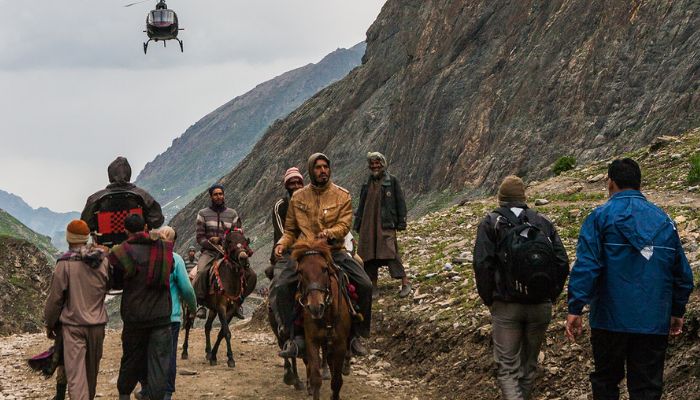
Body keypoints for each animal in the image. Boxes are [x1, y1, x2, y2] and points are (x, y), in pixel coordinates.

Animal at [180, 228, 254, 368]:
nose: (243, 258)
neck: (230, 279)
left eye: (244, 241)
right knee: (187, 325)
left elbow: (221, 333)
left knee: (207, 327)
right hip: (190, 306)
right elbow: (226, 332)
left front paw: (213, 356)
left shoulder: (231, 309)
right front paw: (230, 359)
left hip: (212, 309)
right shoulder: (221, 307)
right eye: (230, 241)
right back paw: (185, 352)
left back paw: (208, 352)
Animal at [292, 239, 352, 400]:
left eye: (325, 269)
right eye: (300, 271)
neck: (326, 315)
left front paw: (334, 395)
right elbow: (316, 378)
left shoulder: (340, 345)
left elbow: (337, 380)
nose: (315, 307)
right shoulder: (312, 341)